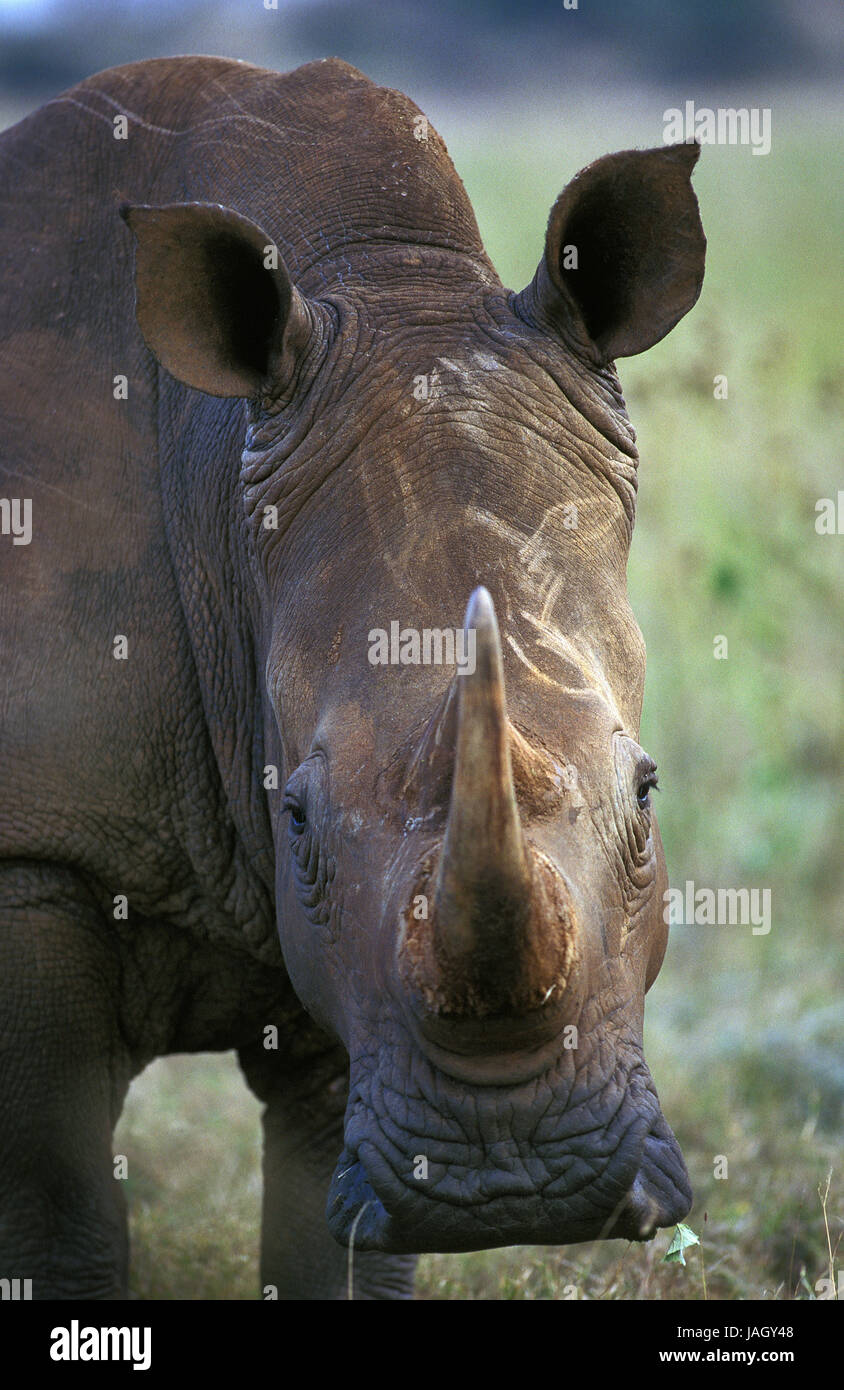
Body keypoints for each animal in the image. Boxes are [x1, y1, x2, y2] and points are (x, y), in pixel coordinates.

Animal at [0, 55, 705, 1299]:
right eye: (296, 815)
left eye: (647, 793)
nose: (513, 1185)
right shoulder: (41, 845)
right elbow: (58, 1206)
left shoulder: (361, 972)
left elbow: (330, 1232)